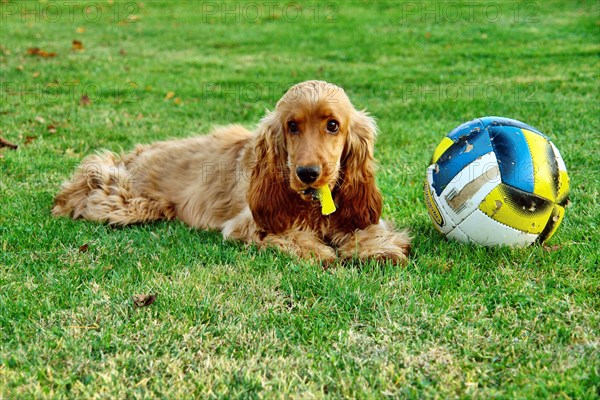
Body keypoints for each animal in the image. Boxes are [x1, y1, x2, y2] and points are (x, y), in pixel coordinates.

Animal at [54, 80, 410, 264]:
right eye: (292, 126)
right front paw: (319, 250)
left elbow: (368, 230)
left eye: (333, 125)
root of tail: (136, 153)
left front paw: (378, 248)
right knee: (86, 186)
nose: (308, 173)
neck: (311, 203)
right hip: (127, 200)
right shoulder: (249, 223)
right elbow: (290, 233)